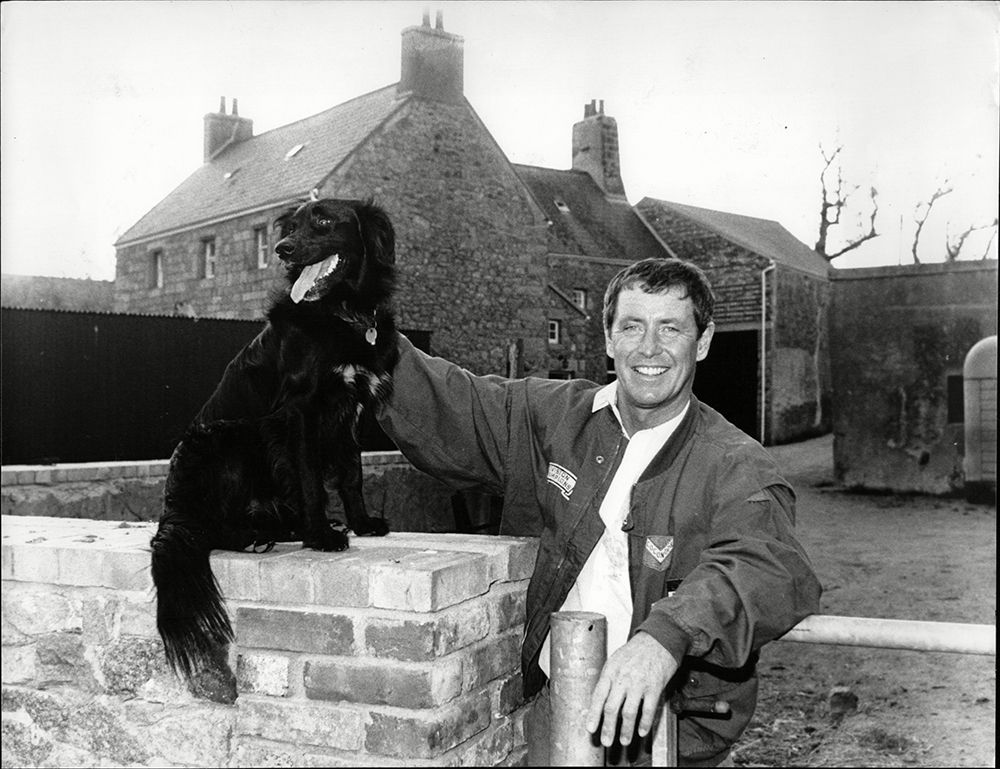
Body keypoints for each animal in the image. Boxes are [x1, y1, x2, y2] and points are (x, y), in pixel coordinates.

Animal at [150, 198, 396, 696]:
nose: (282, 249)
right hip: (226, 440)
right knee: (215, 527)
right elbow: (312, 482)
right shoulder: (300, 411)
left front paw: (361, 523)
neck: (339, 312)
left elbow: (353, 475)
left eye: (324, 221)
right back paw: (255, 536)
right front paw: (320, 535)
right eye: (291, 226)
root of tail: (174, 508)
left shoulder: (352, 413)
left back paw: (277, 528)